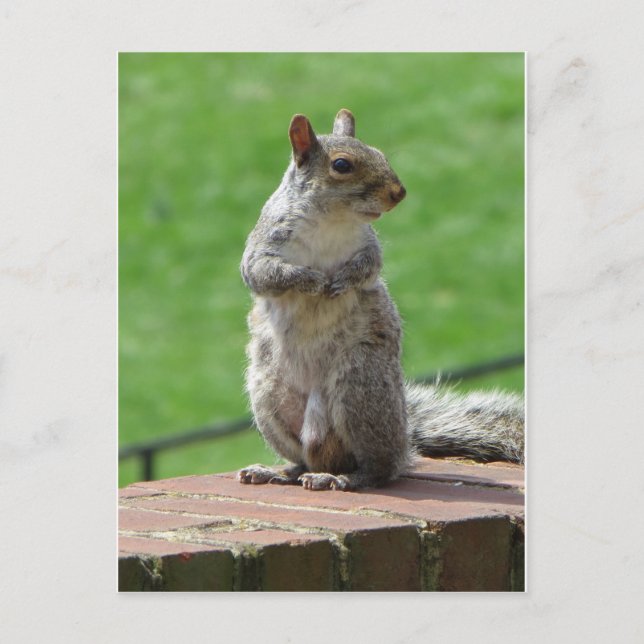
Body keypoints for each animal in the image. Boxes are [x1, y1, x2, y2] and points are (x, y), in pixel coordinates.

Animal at [238, 109, 524, 491]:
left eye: (380, 153)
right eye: (341, 165)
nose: (398, 193)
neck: (331, 221)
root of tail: (404, 446)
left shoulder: (369, 246)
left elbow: (369, 267)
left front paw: (343, 280)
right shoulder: (263, 247)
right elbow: (263, 273)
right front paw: (310, 280)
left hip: (359, 388)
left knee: (376, 469)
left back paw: (341, 477)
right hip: (270, 400)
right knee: (305, 459)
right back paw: (279, 472)